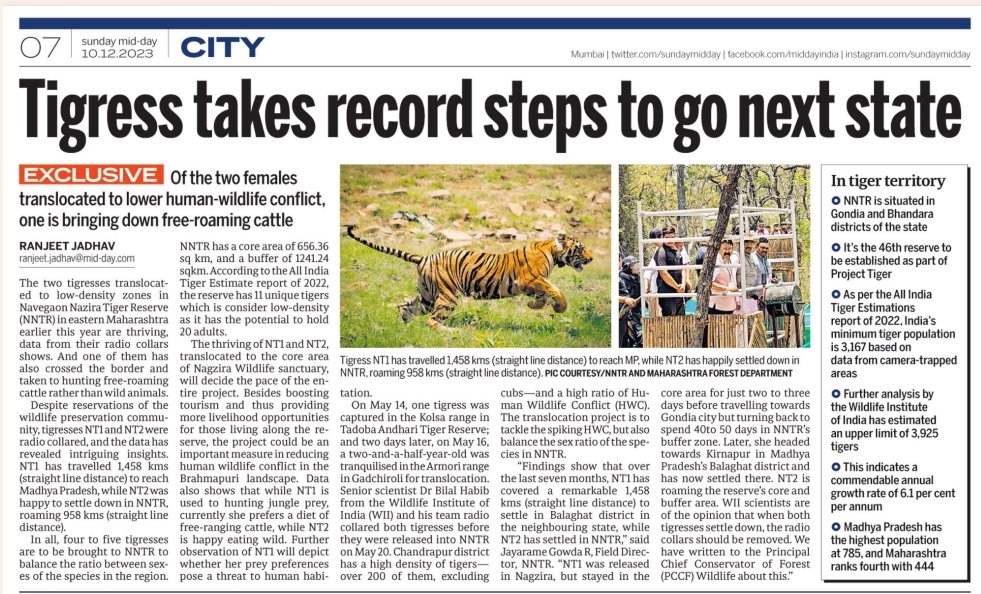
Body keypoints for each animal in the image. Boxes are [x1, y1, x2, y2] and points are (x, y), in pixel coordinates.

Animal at [345, 225, 593, 329]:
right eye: (581, 248)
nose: (590, 259)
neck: (553, 251)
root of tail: (424, 257)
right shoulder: (530, 279)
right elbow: (556, 290)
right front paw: (559, 307)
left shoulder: (533, 283)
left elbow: (544, 295)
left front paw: (536, 306)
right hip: (448, 295)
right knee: (432, 320)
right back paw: (454, 333)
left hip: (427, 297)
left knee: (407, 307)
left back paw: (405, 324)